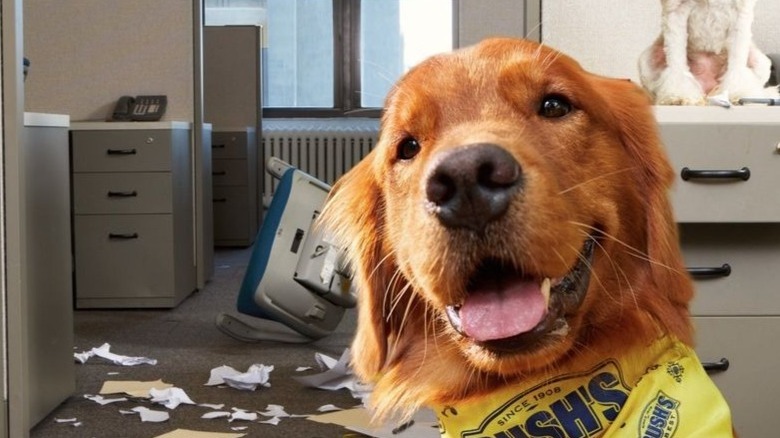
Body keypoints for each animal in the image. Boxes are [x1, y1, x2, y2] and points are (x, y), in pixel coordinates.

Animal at [636, 0, 776, 105]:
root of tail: (707, 92)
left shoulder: (741, 11)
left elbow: (737, 64)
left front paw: (738, 94)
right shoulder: (675, 10)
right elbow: (677, 63)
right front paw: (678, 95)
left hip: (761, 63)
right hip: (646, 62)